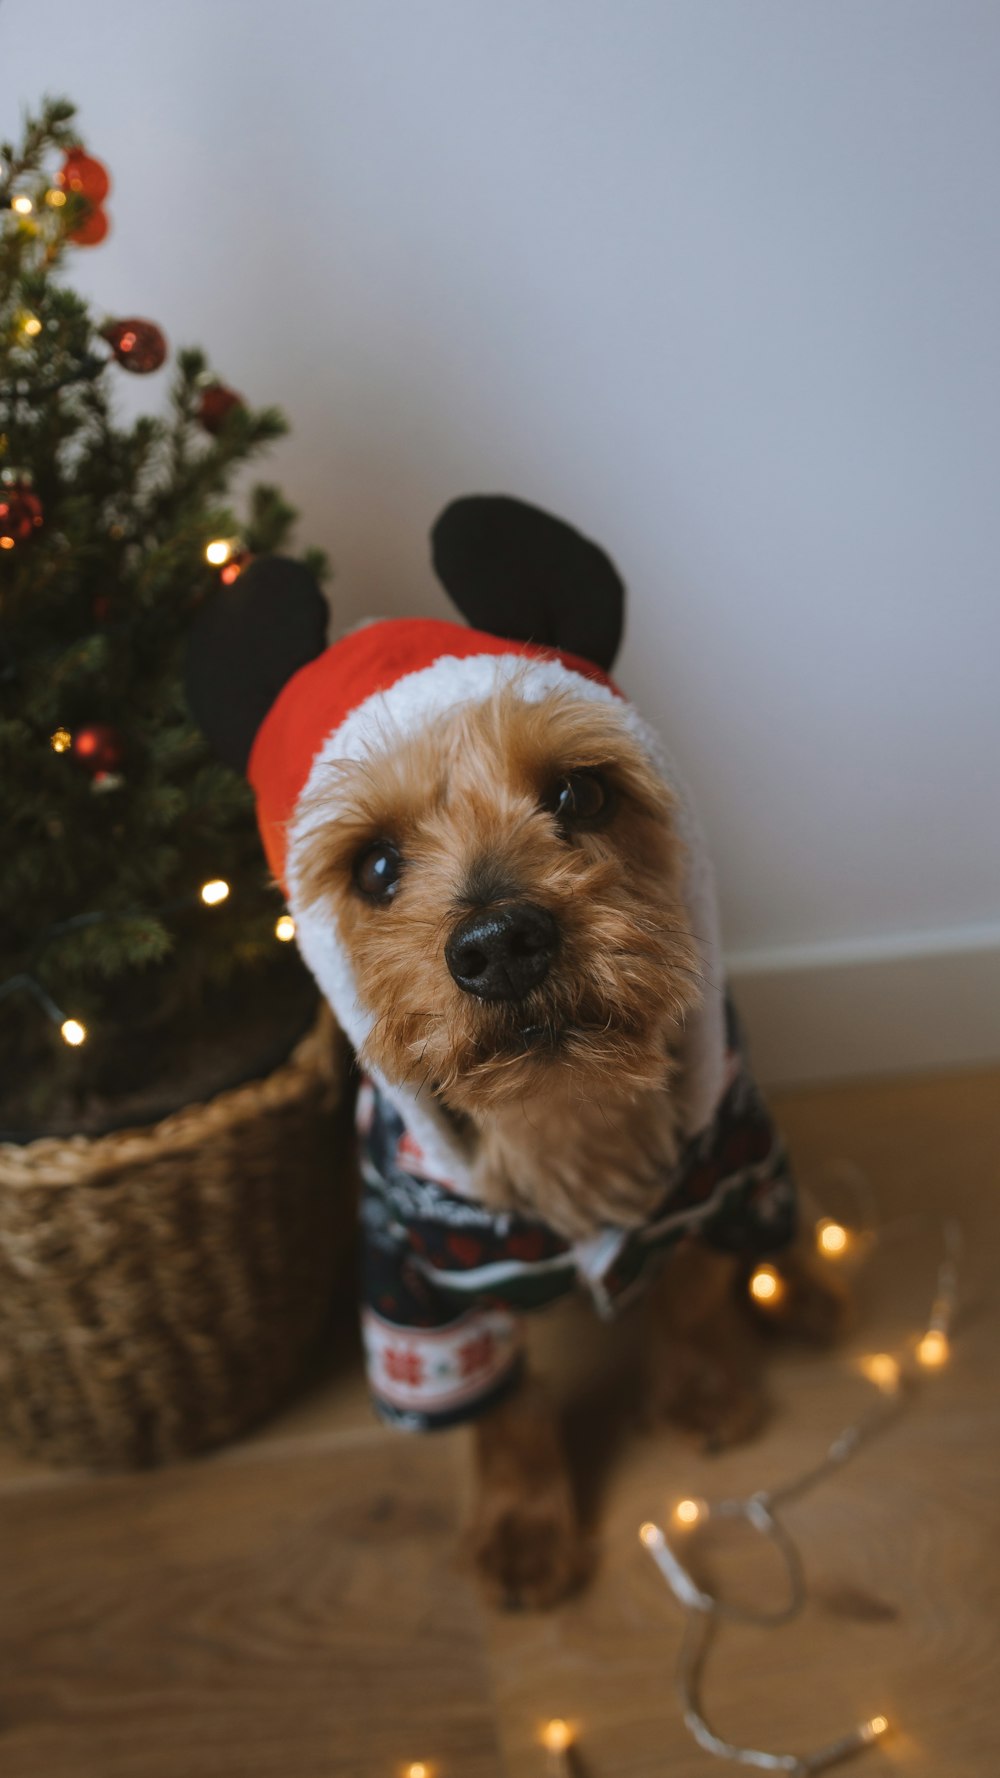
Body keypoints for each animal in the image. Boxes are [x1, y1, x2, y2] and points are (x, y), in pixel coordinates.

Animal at [186, 494, 839, 1607]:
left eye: (581, 795)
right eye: (375, 865)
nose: (498, 943)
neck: (565, 1114)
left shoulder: (717, 1158)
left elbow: (694, 1284)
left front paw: (702, 1391)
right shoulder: (414, 1276)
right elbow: (502, 1410)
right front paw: (523, 1529)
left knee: (770, 1233)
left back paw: (801, 1282)